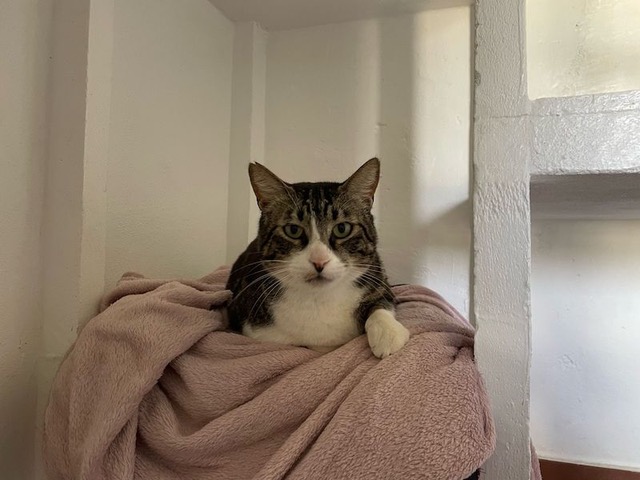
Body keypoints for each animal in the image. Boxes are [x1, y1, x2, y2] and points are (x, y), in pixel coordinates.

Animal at [225, 158, 410, 358]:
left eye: (342, 228)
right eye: (293, 230)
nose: (319, 262)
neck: (319, 298)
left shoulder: (378, 276)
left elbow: (382, 303)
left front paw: (388, 334)